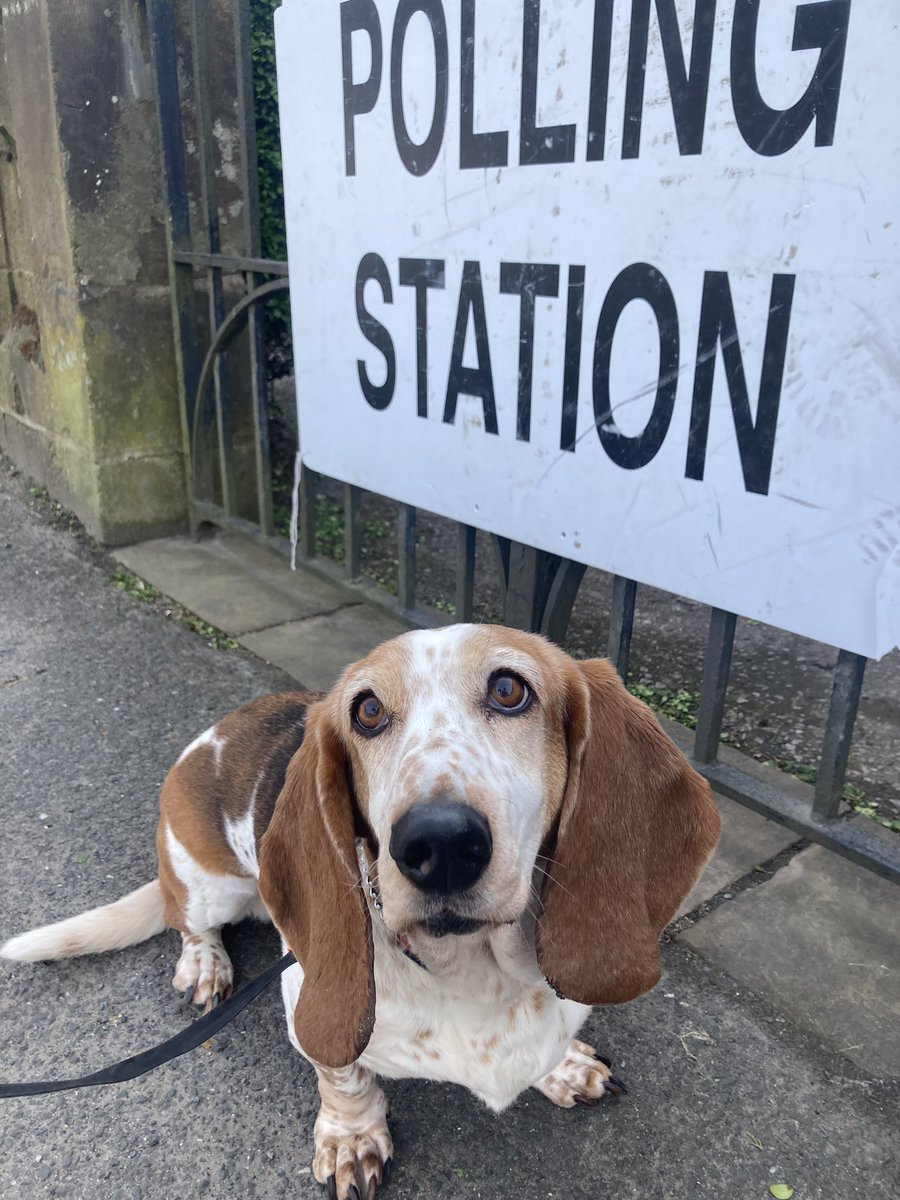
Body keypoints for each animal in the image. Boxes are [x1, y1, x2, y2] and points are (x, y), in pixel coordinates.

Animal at [0, 624, 720, 1195]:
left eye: (509, 690)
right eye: (368, 711)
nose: (439, 843)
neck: (474, 973)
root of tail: (211, 737)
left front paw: (564, 1067)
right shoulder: (306, 998)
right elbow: (343, 1077)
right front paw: (352, 1138)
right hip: (209, 883)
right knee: (189, 920)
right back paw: (204, 964)